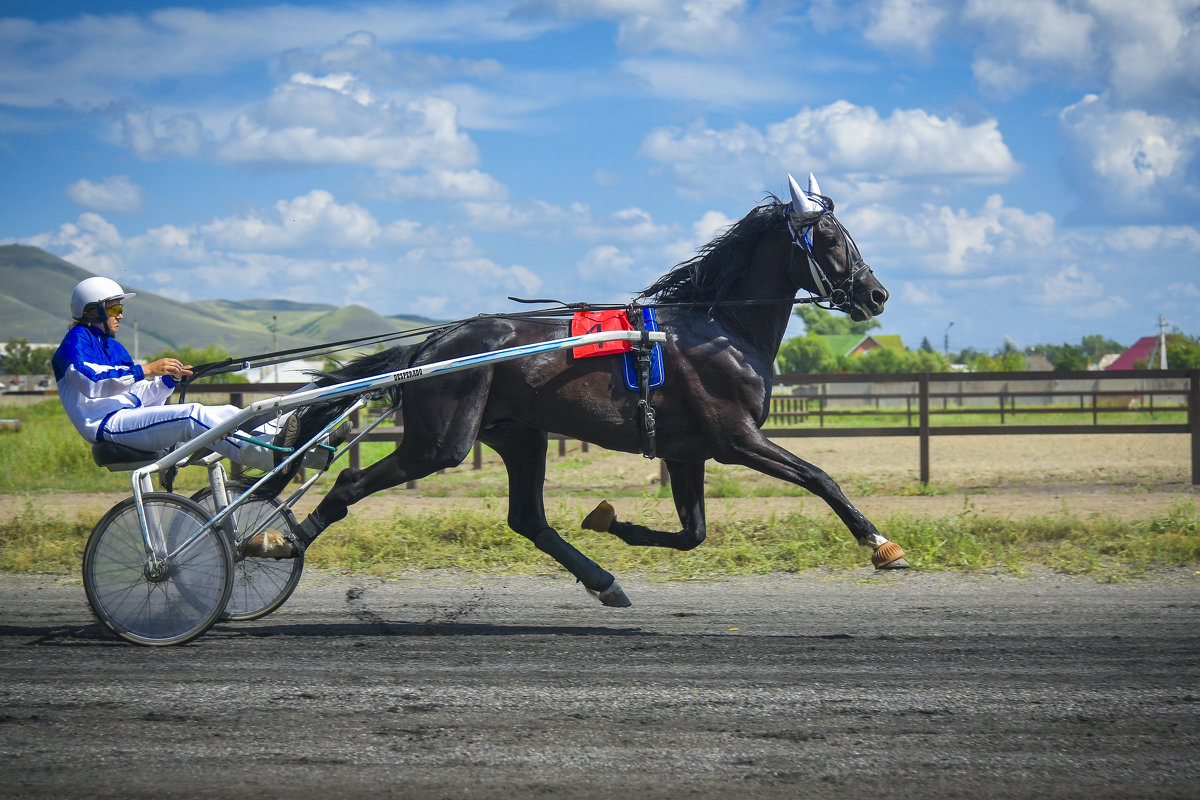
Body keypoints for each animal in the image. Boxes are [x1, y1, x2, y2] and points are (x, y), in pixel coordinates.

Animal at [255, 172, 907, 604]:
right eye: (831, 237)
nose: (877, 295)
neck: (720, 326)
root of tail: (429, 349)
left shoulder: (687, 451)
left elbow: (692, 534)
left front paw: (610, 520)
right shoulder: (735, 438)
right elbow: (820, 477)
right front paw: (880, 544)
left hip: (520, 435)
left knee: (527, 518)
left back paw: (603, 580)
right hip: (440, 442)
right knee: (349, 484)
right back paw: (280, 543)